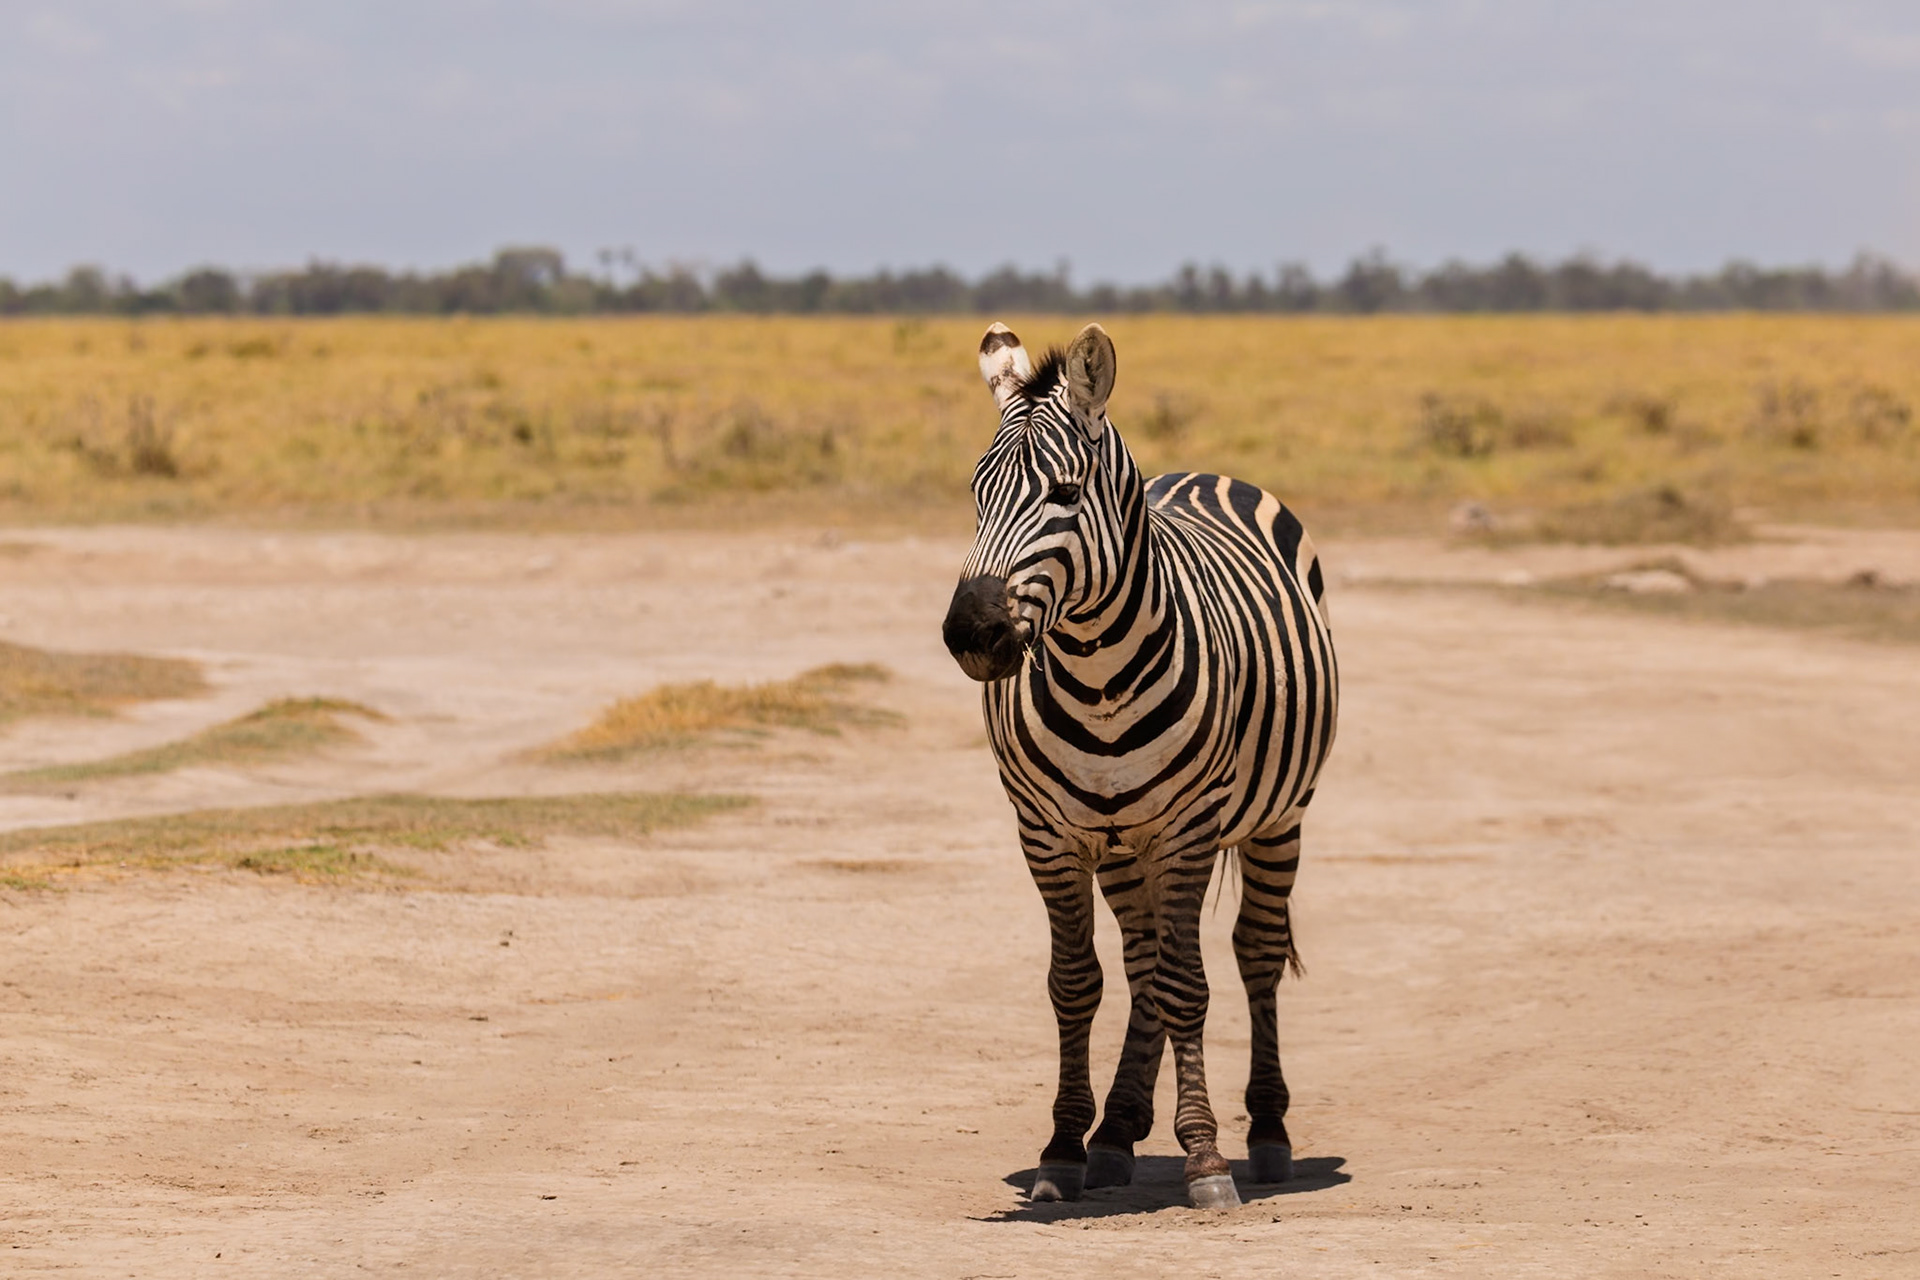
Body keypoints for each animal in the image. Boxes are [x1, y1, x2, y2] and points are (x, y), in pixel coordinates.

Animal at [941, 322, 1338, 1210]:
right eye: (976, 495)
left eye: (1064, 492)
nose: (973, 634)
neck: (1099, 678)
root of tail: (1202, 473)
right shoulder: (1047, 835)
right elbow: (1076, 982)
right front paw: (1063, 1147)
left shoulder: (1188, 830)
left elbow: (1191, 985)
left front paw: (1207, 1159)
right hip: (1124, 845)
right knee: (1145, 961)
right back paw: (1118, 1131)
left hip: (1278, 816)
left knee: (1254, 953)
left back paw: (1265, 1132)